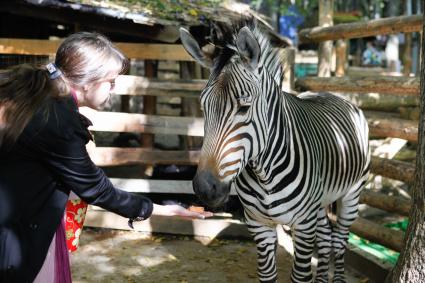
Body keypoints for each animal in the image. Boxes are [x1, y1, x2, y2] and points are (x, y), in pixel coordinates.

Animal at [181, 21, 370, 282]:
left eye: (244, 107)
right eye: (203, 107)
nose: (205, 188)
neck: (264, 174)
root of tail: (332, 93)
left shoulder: (303, 225)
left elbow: (300, 276)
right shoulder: (259, 225)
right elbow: (267, 275)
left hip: (352, 193)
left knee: (340, 239)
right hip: (320, 202)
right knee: (325, 236)